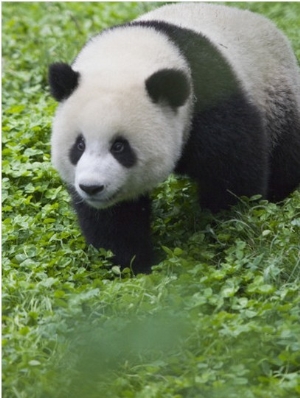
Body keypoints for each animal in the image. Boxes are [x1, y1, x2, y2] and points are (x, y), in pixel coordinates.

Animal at [49, 3, 300, 276]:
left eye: (119, 147)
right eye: (79, 145)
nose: (92, 187)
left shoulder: (211, 97)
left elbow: (233, 172)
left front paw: (224, 226)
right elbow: (116, 218)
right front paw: (132, 263)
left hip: (276, 95)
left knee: (286, 156)